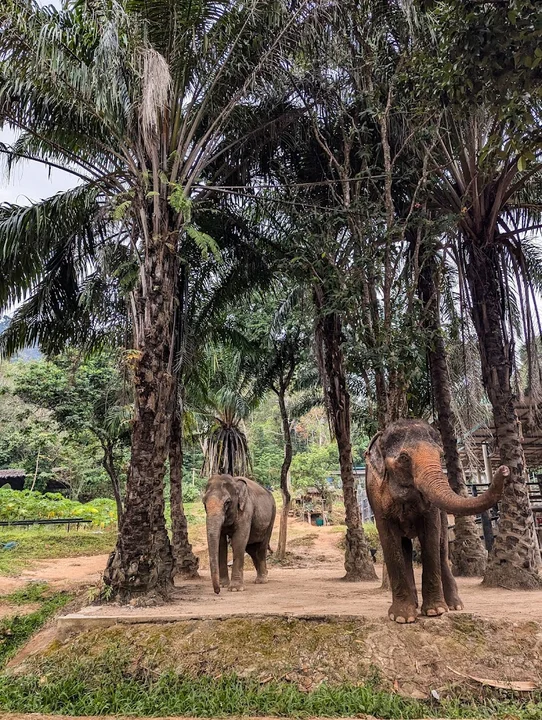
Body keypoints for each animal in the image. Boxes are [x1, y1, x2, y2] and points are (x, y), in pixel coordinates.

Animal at [365, 419, 507, 624]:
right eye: (404, 458)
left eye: (441, 455)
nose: (504, 469)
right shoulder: (375, 496)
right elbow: (389, 539)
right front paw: (401, 618)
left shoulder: (433, 511)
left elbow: (431, 534)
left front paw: (435, 611)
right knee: (405, 547)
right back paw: (414, 605)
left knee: (441, 547)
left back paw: (454, 606)